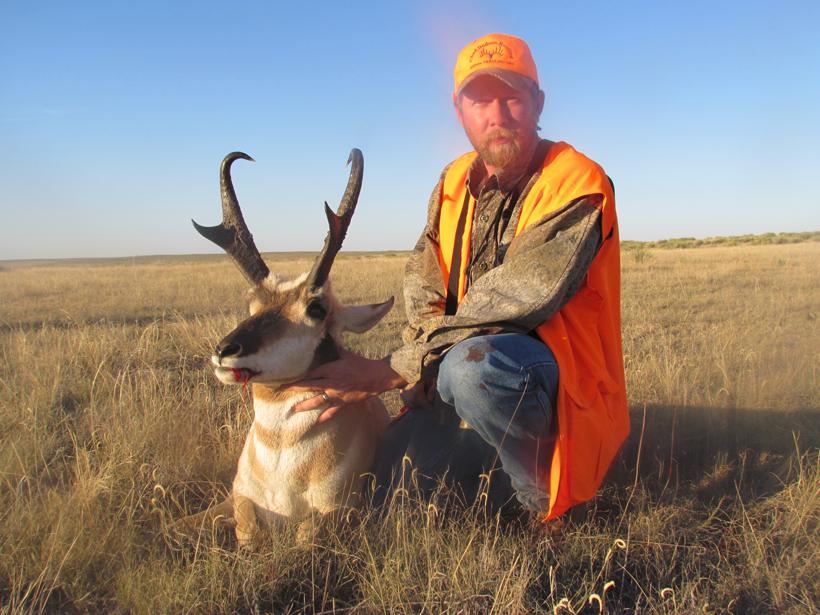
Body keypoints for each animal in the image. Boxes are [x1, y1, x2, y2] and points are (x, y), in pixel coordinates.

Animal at [179, 149, 392, 546]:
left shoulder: (341, 511)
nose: (225, 351)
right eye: (253, 303)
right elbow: (240, 524)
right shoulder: (236, 497)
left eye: (316, 308)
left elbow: (303, 534)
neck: (281, 461)